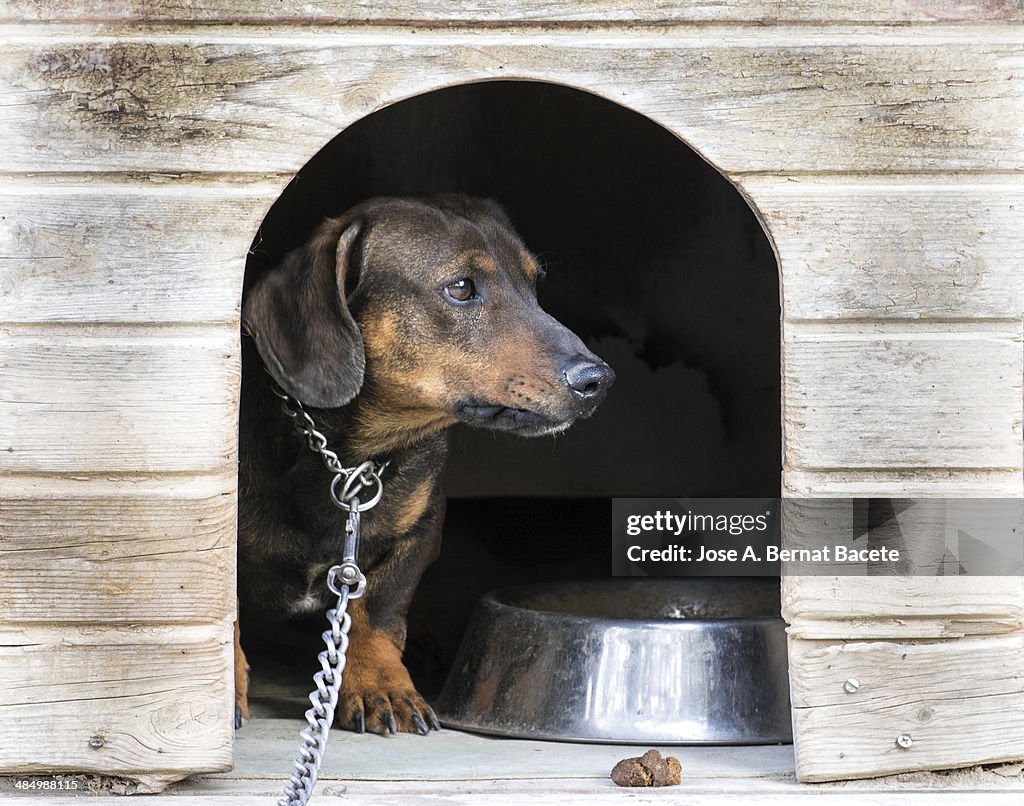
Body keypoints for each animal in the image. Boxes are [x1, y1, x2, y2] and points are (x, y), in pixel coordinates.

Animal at [235, 193, 610, 733]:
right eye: (461, 287)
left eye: (534, 284)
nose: (598, 380)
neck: (348, 458)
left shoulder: (422, 531)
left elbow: (377, 610)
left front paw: (379, 685)